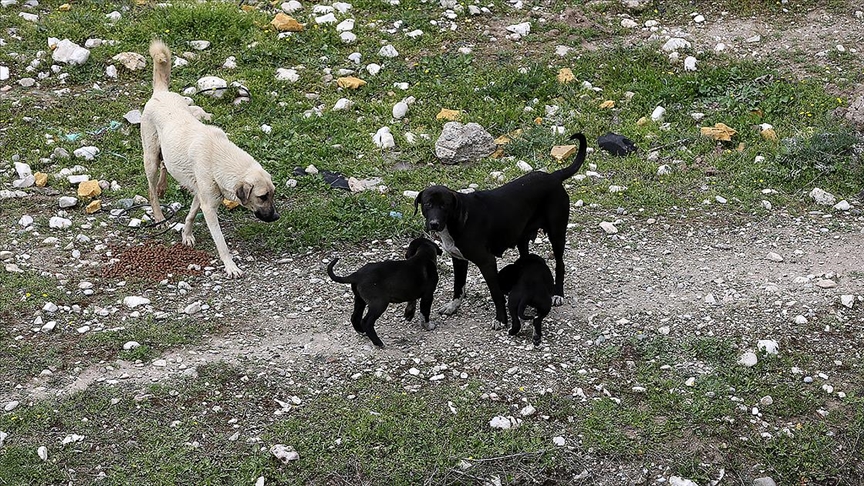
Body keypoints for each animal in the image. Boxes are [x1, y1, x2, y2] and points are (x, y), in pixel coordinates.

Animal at [140, 40, 278, 278]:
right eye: (262, 197)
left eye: (273, 194)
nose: (276, 217)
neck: (219, 156)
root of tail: (161, 92)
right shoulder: (209, 206)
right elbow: (221, 242)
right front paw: (231, 266)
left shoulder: (201, 196)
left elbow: (190, 215)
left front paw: (186, 235)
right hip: (150, 159)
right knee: (151, 190)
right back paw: (158, 216)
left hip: (165, 151)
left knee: (165, 166)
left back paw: (163, 186)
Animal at [412, 132, 588, 326]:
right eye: (428, 204)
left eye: (445, 206)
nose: (434, 224)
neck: (458, 219)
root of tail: (554, 177)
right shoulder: (458, 259)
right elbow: (458, 286)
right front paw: (453, 306)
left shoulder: (487, 262)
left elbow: (495, 293)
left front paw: (501, 319)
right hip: (522, 239)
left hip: (556, 234)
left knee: (560, 264)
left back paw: (558, 294)